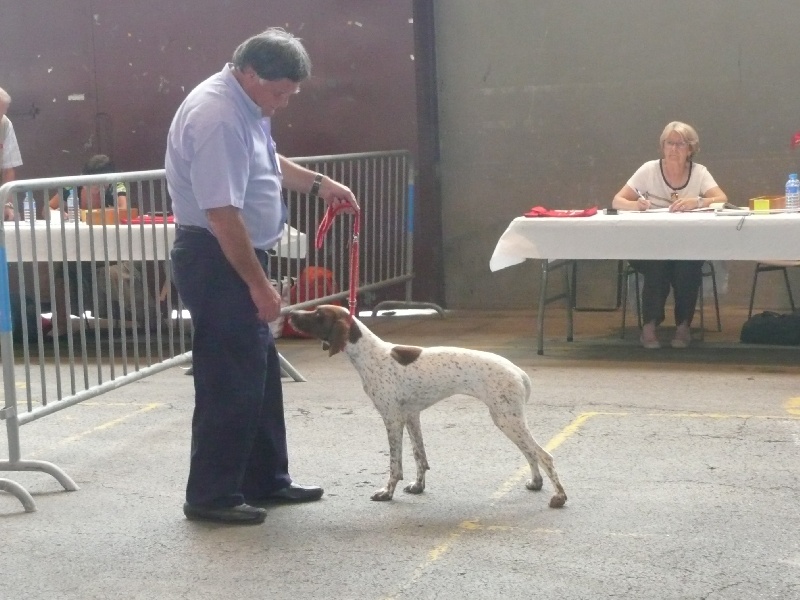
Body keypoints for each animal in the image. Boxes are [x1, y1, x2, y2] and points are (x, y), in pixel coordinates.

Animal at [288, 304, 568, 506]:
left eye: (317, 314)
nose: (290, 313)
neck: (371, 355)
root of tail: (519, 372)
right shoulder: (412, 416)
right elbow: (419, 456)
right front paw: (418, 486)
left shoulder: (392, 419)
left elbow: (395, 464)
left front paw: (387, 492)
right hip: (509, 420)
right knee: (531, 453)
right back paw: (536, 483)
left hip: (506, 419)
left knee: (544, 455)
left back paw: (559, 497)